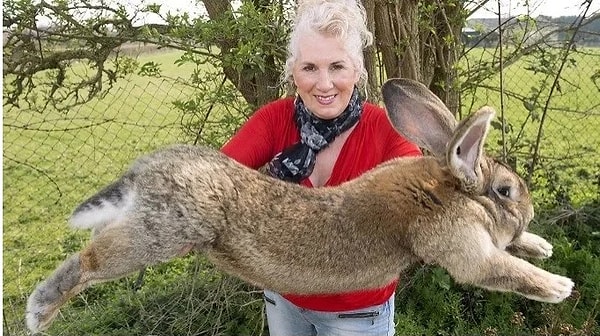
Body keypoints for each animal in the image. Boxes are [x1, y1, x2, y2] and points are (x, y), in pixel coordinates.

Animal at [27, 79, 572, 334]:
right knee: (89, 261)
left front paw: (540, 244)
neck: (448, 188)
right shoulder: (462, 247)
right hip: (159, 234)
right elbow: (499, 269)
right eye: (506, 191)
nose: (528, 211)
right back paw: (39, 312)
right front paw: (558, 286)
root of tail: (145, 172)